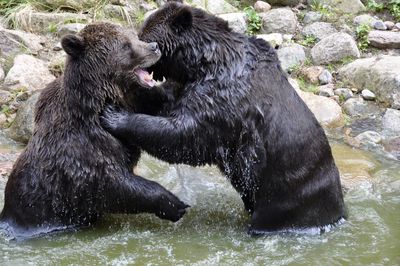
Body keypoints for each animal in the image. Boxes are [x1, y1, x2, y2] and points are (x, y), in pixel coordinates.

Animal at [0, 22, 188, 238]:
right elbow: (111, 184)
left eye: (134, 36)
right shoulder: (83, 151)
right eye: (126, 45)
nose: (154, 47)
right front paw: (174, 204)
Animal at [103, 2, 346, 235]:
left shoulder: (222, 99)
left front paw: (114, 116)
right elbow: (168, 102)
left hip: (287, 195)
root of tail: (337, 214)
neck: (202, 62)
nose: (146, 50)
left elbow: (185, 134)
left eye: (143, 37)